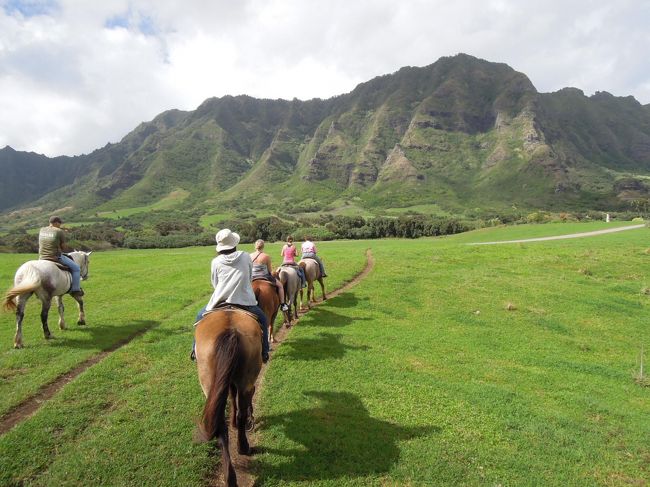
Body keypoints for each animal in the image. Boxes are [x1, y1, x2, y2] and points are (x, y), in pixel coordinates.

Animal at [194, 308, 262, 487]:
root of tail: (229, 330)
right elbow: (236, 396)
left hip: (208, 381)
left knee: (221, 426)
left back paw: (230, 477)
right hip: (246, 379)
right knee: (241, 413)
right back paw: (243, 447)